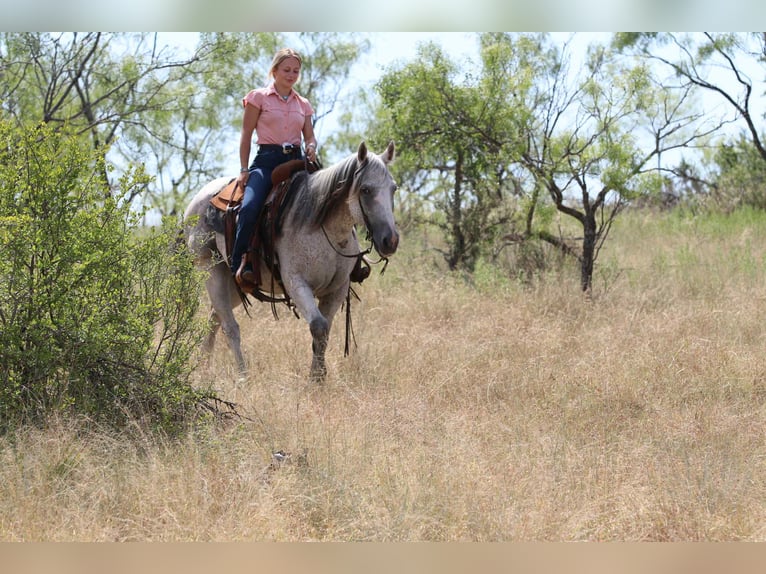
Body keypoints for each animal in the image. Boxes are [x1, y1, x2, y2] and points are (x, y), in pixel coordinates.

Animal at [183, 141, 399, 381]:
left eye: (393, 188)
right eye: (365, 190)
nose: (390, 241)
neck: (322, 226)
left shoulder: (337, 289)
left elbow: (325, 331)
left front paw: (318, 376)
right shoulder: (297, 283)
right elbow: (319, 326)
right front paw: (316, 378)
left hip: (232, 283)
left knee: (215, 317)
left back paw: (204, 368)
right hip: (211, 271)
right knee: (229, 326)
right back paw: (242, 375)